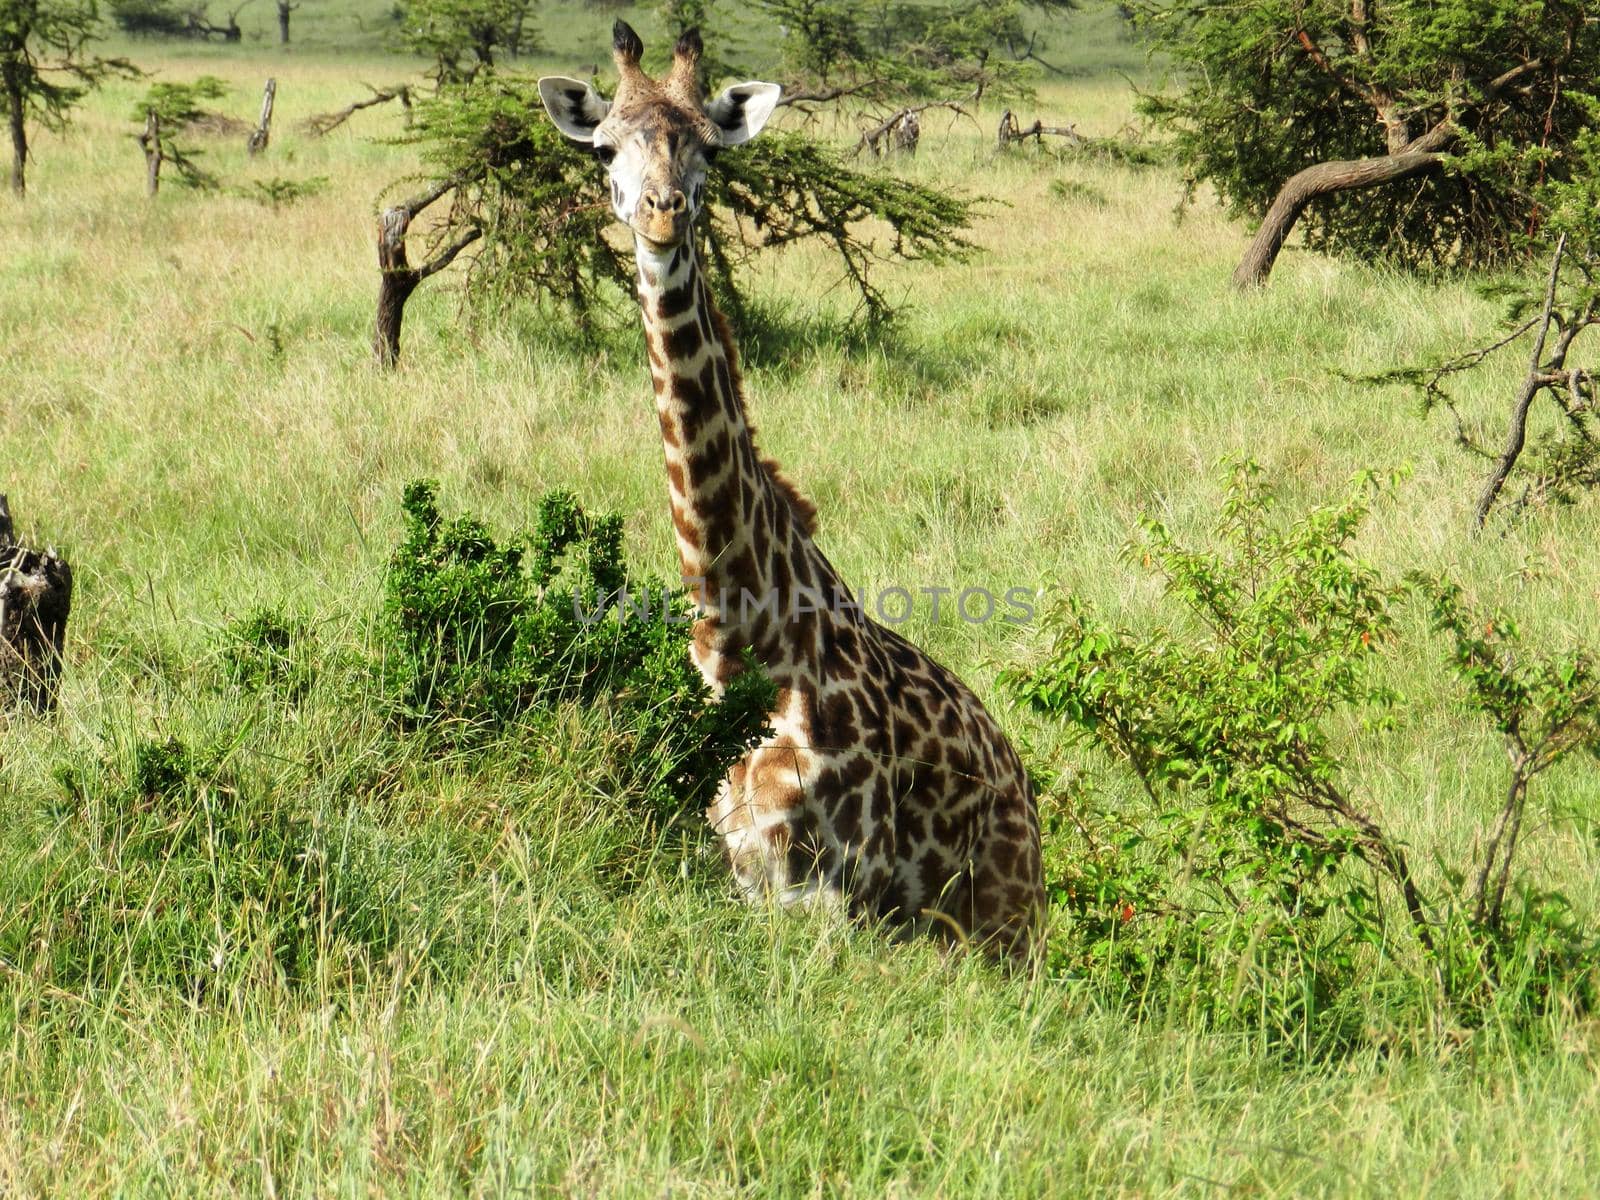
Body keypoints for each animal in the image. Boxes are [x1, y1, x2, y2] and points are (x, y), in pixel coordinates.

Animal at [531, 21, 1043, 960]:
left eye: (706, 146)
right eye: (606, 148)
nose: (663, 213)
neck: (743, 624)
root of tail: (1023, 782)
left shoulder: (825, 895)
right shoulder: (719, 867)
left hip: (1000, 926)